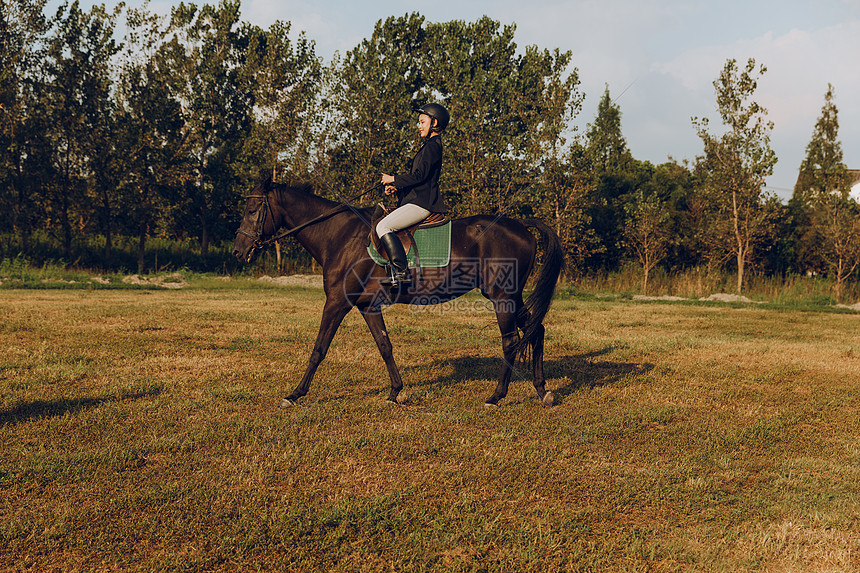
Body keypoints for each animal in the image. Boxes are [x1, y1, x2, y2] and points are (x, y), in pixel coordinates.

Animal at [230, 179, 564, 406]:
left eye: (252, 210)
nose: (237, 252)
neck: (338, 235)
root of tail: (520, 225)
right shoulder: (368, 306)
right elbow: (384, 346)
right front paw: (394, 392)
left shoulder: (337, 303)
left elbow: (319, 349)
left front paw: (295, 394)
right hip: (512, 297)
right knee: (536, 330)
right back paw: (542, 391)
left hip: (501, 298)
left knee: (511, 342)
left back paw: (496, 396)